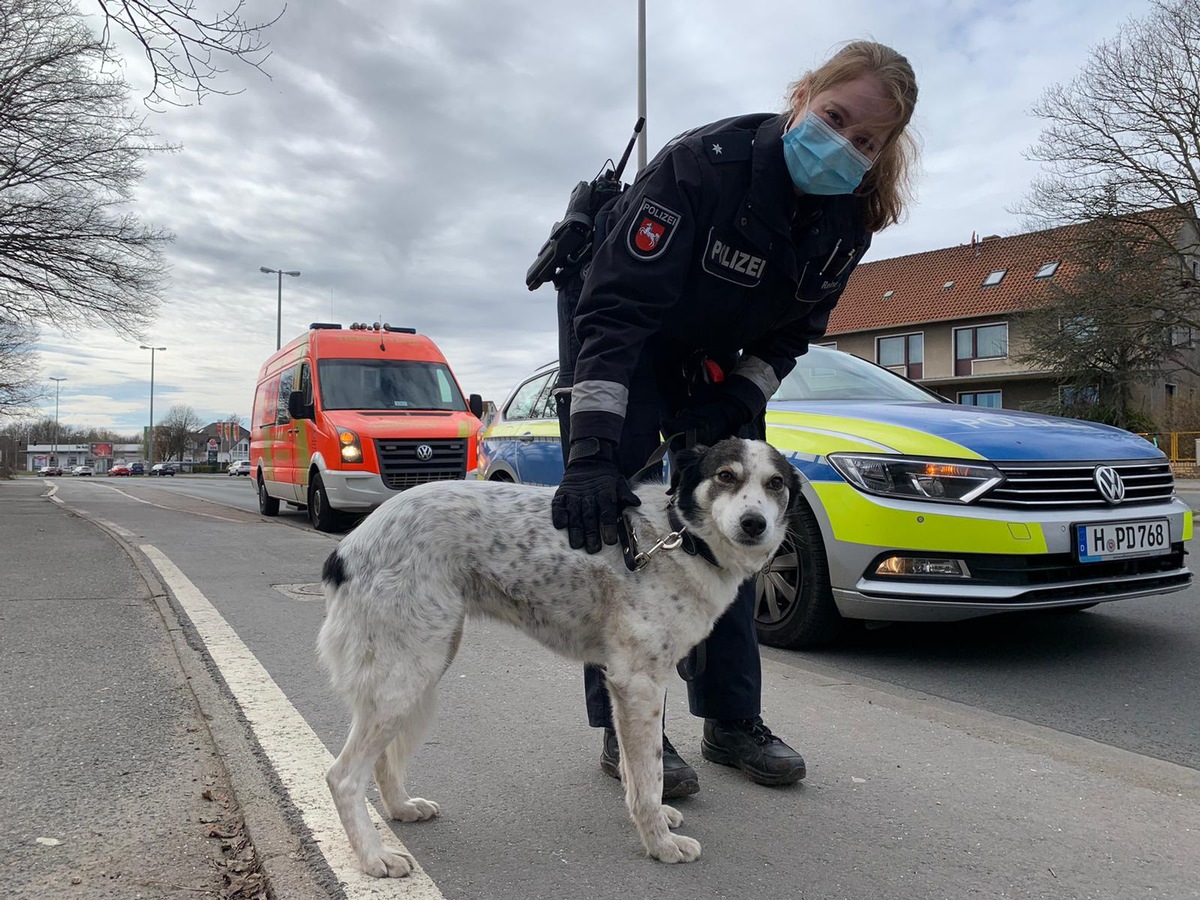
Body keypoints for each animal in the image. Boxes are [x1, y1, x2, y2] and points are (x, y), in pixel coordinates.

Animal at [319, 441, 801, 878]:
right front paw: (660, 844)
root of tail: (349, 546)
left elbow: (636, 772)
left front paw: (655, 821)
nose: (754, 523)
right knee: (343, 777)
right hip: (410, 672)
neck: (677, 538)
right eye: (726, 476)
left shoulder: (627, 687)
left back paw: (401, 808)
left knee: (383, 759)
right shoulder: (639, 682)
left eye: (775, 484)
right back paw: (373, 856)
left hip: (419, 668)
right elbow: (649, 777)